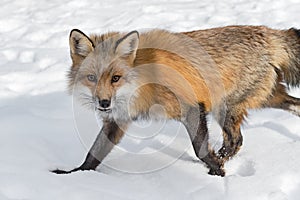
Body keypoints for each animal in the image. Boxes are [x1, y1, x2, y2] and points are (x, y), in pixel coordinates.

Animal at [53, 25, 300, 177]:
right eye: (92, 78)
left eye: (115, 78)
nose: (103, 103)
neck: (143, 81)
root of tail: (268, 32)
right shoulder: (117, 120)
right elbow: (93, 154)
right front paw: (75, 175)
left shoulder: (191, 107)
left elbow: (200, 149)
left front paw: (217, 172)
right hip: (267, 98)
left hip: (227, 107)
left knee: (235, 141)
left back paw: (222, 160)